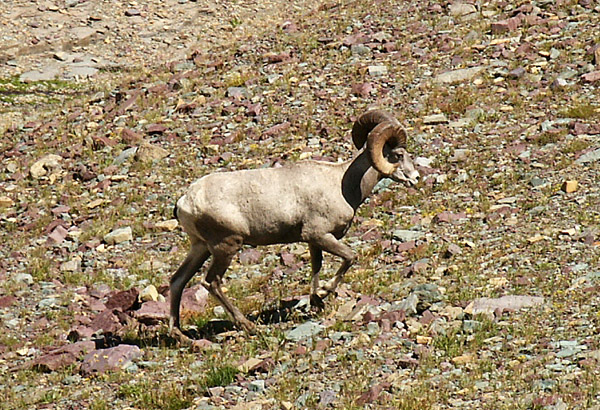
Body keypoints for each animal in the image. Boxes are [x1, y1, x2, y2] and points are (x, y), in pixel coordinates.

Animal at [171, 109, 420, 334]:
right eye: (398, 155)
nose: (416, 178)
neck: (341, 183)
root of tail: (186, 202)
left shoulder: (313, 241)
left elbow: (316, 266)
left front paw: (316, 300)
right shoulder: (319, 235)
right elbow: (350, 257)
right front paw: (325, 292)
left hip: (201, 247)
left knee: (177, 280)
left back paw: (179, 334)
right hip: (226, 246)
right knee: (211, 282)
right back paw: (248, 326)